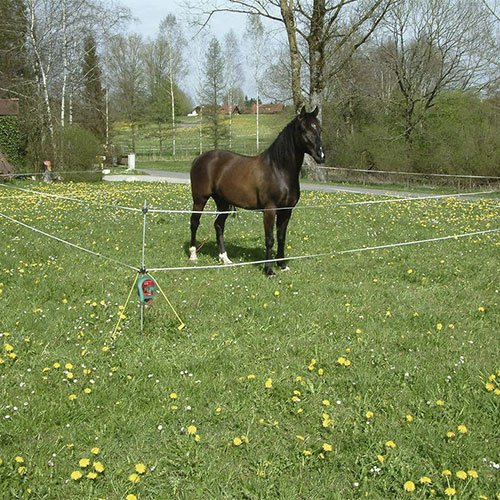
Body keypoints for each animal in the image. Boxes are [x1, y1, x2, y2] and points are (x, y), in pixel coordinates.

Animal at [188, 106, 324, 278]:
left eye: (319, 129)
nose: (321, 156)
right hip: (200, 199)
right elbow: (270, 239)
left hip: (223, 202)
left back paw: (225, 259)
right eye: (303, 129)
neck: (278, 169)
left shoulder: (286, 210)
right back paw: (193, 255)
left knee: (218, 225)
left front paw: (282, 265)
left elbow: (281, 237)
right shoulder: (270, 210)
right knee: (194, 222)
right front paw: (269, 270)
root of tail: (199, 158)